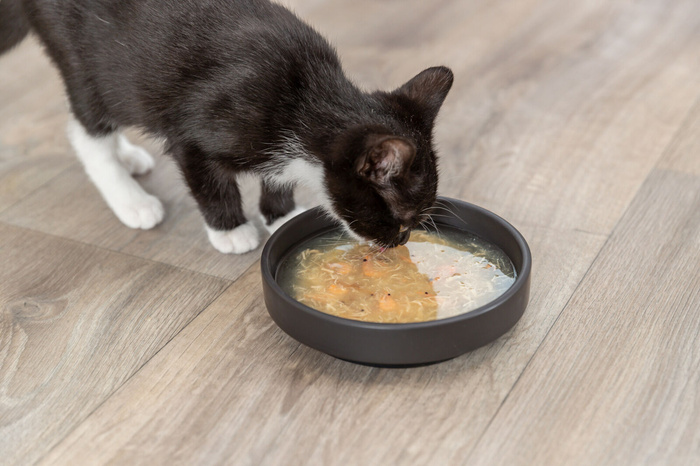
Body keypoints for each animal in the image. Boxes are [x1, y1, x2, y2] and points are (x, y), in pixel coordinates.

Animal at [1, 0, 454, 253]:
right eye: (402, 219)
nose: (401, 241)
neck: (306, 98)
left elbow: (278, 178)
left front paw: (280, 215)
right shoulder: (194, 133)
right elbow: (210, 183)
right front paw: (232, 230)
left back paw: (128, 157)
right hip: (91, 63)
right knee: (87, 128)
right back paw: (130, 198)